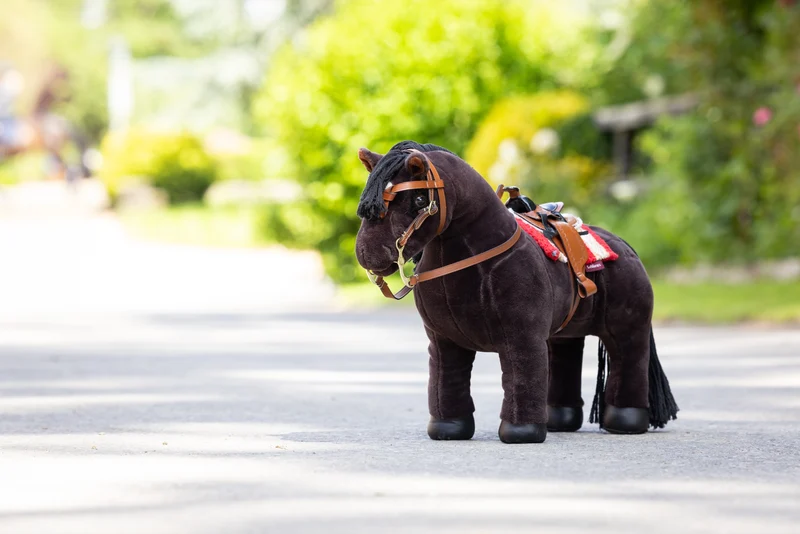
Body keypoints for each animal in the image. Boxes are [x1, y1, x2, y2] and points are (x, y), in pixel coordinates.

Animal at [354, 140, 678, 444]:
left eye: (420, 199)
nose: (368, 254)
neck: (473, 259)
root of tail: (624, 245)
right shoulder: (444, 343)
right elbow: (447, 382)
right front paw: (449, 429)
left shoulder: (522, 340)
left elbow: (522, 380)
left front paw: (522, 432)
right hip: (566, 334)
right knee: (565, 357)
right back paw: (558, 419)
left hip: (627, 329)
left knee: (629, 360)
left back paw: (624, 422)